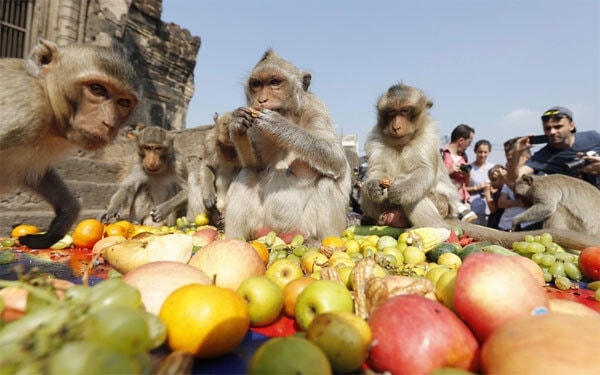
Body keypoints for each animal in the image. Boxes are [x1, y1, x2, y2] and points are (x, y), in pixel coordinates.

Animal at [0, 39, 139, 250]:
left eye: (123, 102)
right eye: (97, 89)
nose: (109, 123)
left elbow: (34, 173)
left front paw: (63, 218)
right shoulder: (25, 112)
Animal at [224, 50, 352, 242]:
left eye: (275, 82)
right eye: (256, 84)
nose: (261, 100)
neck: (290, 115)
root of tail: (282, 235)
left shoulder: (316, 106)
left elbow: (336, 159)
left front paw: (279, 125)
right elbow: (255, 165)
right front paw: (237, 123)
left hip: (305, 226)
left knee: (327, 182)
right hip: (260, 227)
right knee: (247, 173)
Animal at [358, 83, 600, 251]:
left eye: (405, 111)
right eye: (391, 113)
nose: (396, 126)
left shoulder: (428, 135)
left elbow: (423, 171)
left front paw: (399, 190)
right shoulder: (376, 136)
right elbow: (375, 171)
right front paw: (374, 186)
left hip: (443, 209)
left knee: (417, 197)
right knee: (369, 196)